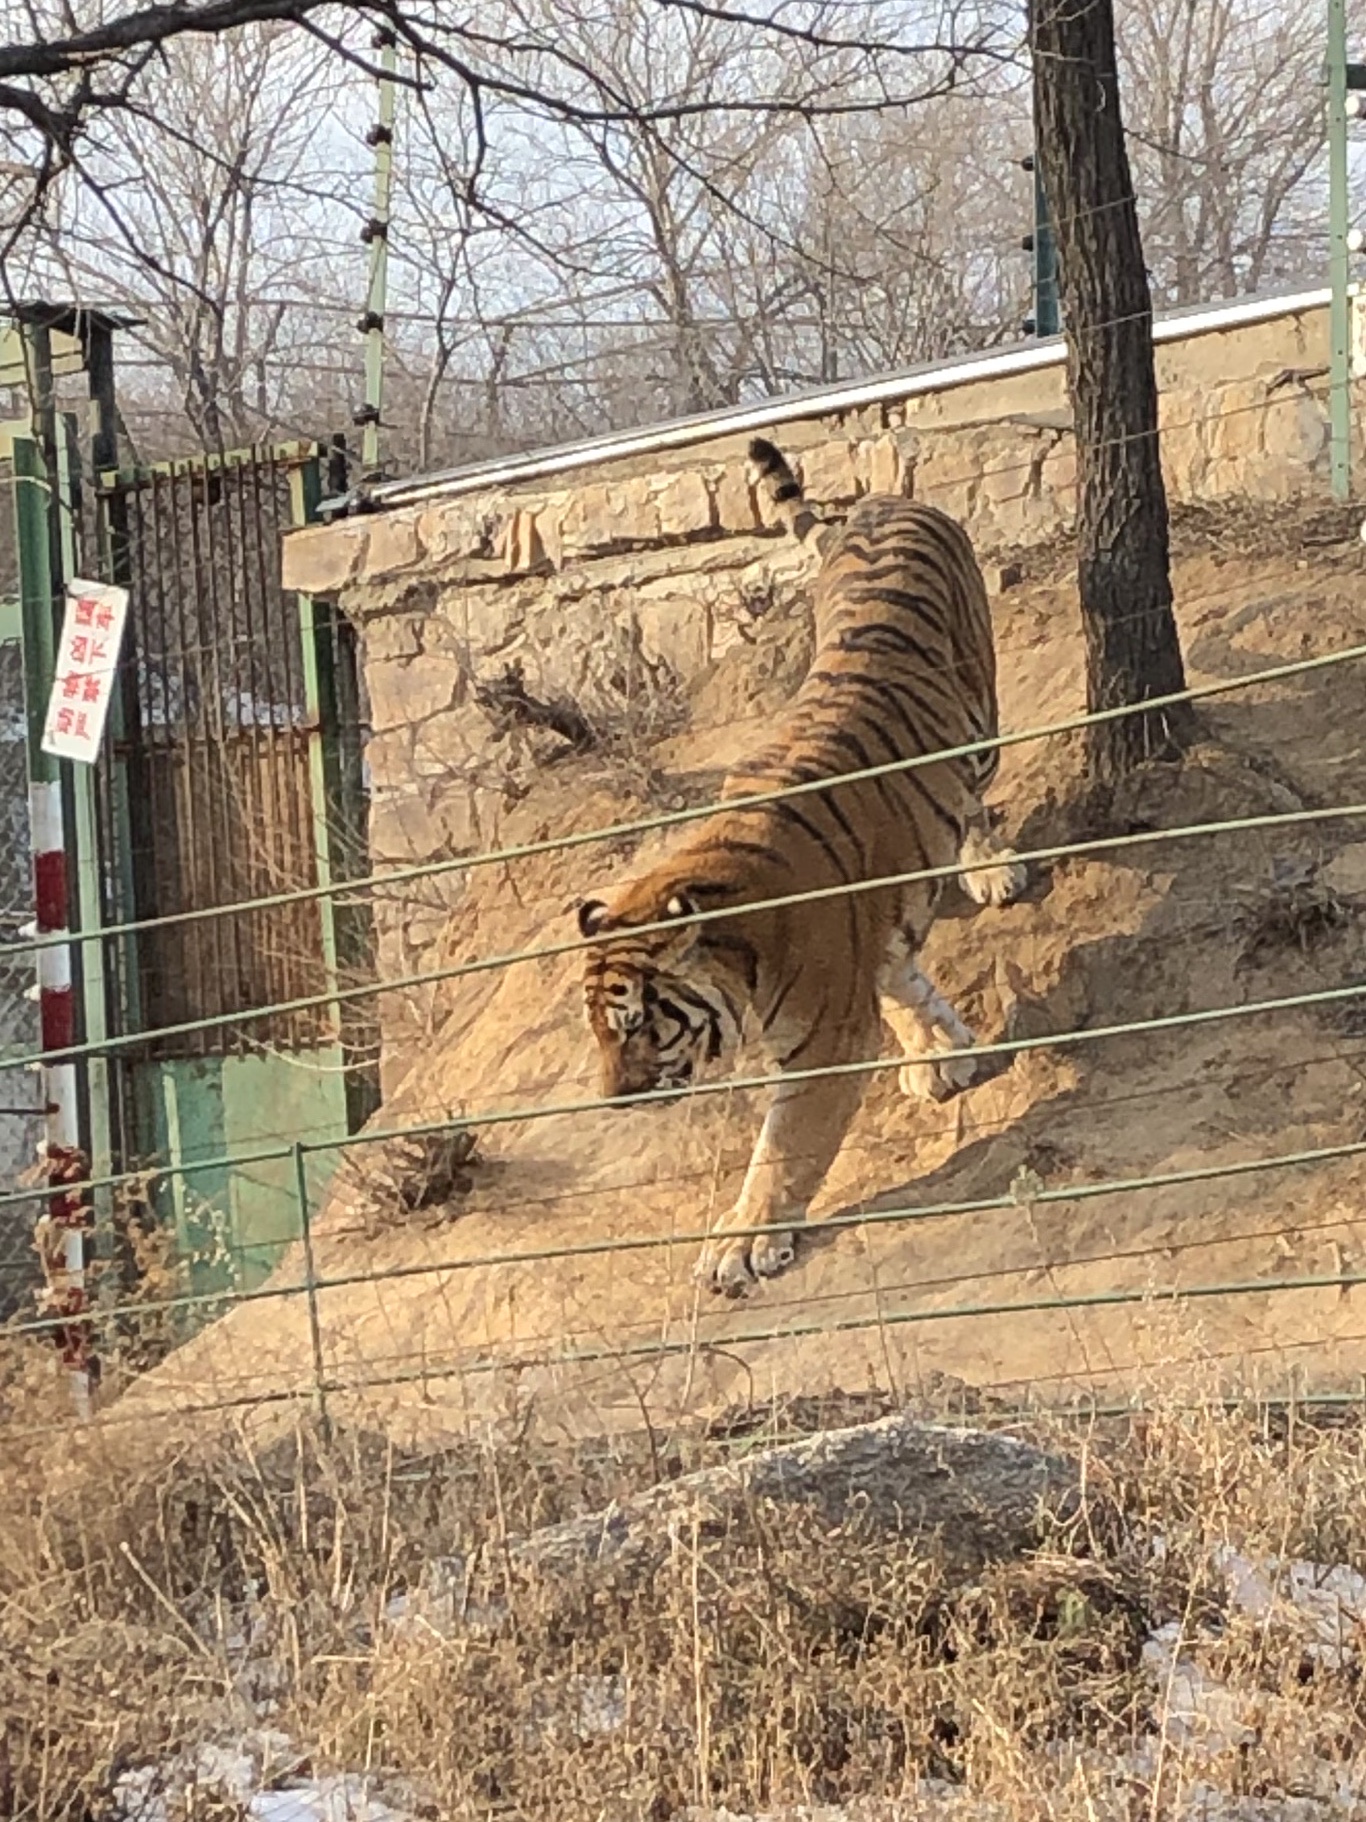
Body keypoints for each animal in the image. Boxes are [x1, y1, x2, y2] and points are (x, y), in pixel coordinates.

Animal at [575, 437, 1027, 1297]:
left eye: (636, 1025)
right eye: (596, 1034)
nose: (612, 1103)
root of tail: (880, 499)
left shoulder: (827, 1042)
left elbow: (783, 1151)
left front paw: (740, 1243)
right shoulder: (876, 941)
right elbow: (905, 985)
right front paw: (942, 1053)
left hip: (982, 718)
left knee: (979, 798)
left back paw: (991, 868)